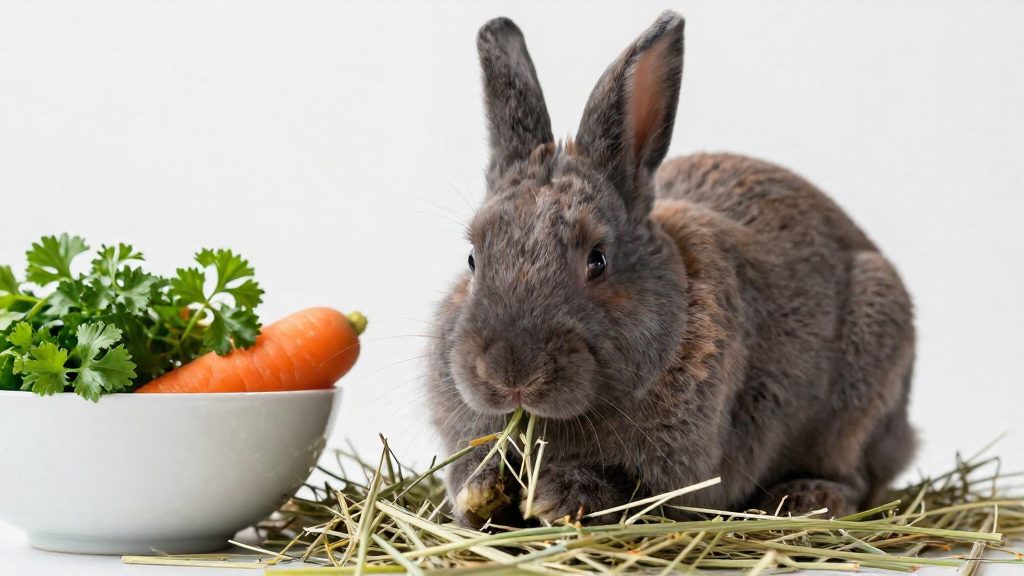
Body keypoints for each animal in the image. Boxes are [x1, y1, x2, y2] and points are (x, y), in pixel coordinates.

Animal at [427, 11, 915, 527]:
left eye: (597, 260)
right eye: (473, 259)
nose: (511, 374)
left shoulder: (684, 474)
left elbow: (632, 494)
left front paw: (557, 497)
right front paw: (480, 490)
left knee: (857, 479)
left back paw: (805, 498)